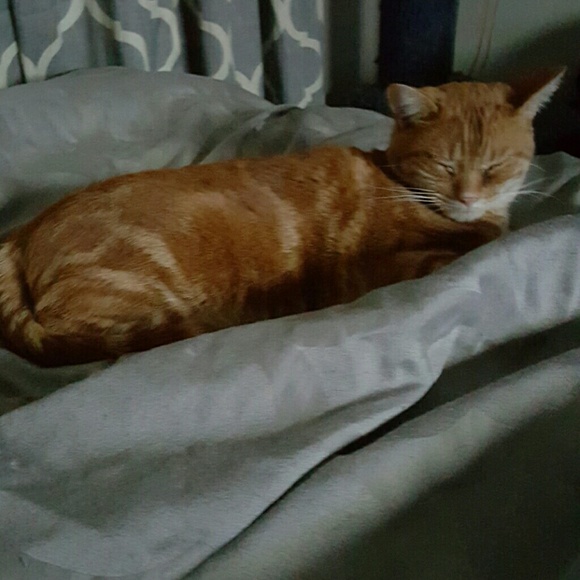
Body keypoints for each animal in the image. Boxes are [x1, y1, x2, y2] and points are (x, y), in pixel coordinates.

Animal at [0, 69, 564, 367]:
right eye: (445, 166)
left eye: (494, 167)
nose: (468, 198)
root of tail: (24, 233)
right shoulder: (388, 268)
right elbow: (475, 249)